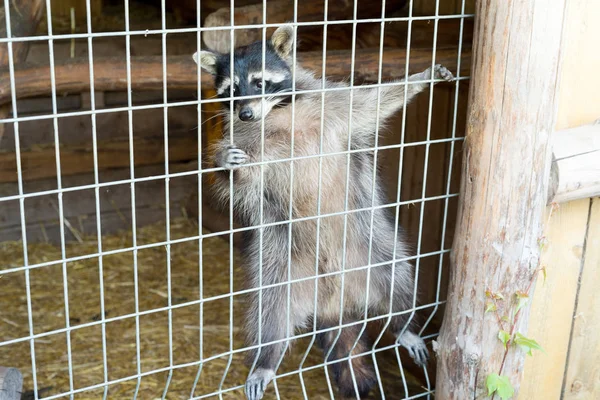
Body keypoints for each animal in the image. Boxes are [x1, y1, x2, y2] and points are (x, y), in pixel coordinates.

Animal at [195, 25, 452, 400]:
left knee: (396, 274)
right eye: (231, 90)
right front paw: (226, 164)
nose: (245, 114)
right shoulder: (247, 141)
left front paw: (419, 79)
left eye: (259, 82)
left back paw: (402, 322)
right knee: (270, 310)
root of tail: (333, 298)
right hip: (281, 262)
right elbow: (242, 180)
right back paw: (266, 357)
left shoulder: (329, 105)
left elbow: (372, 102)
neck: (277, 113)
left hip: (367, 247)